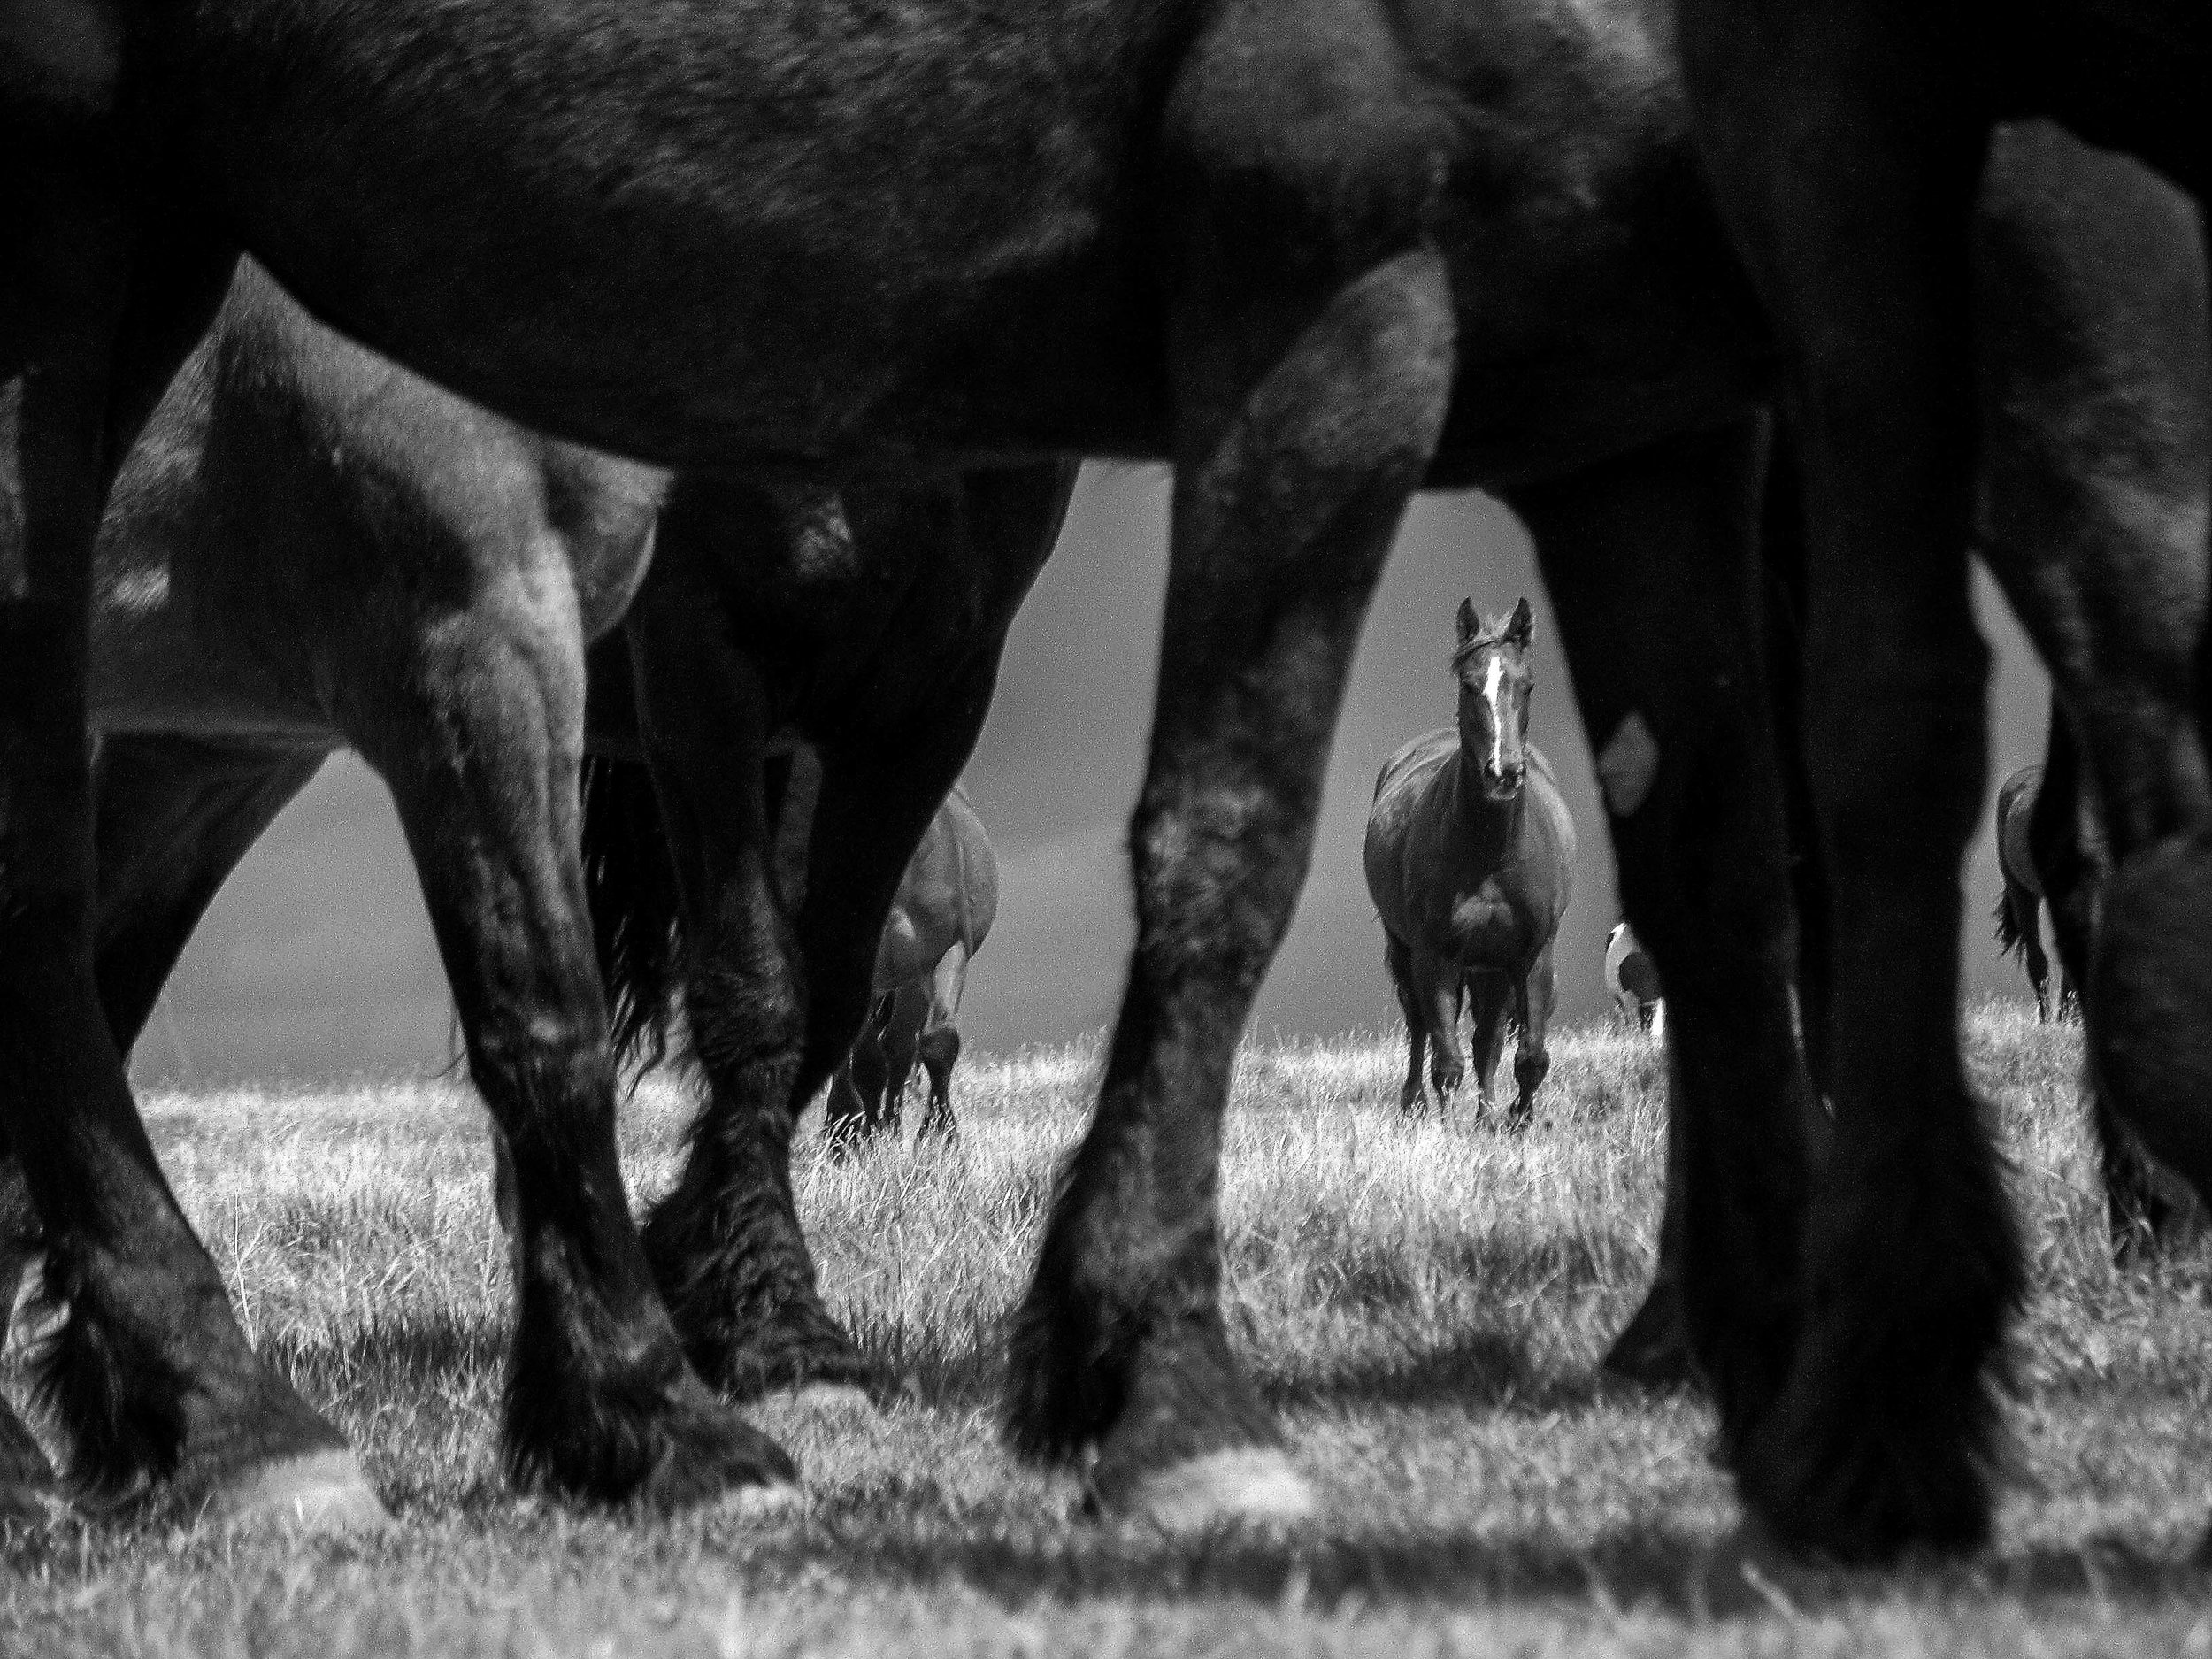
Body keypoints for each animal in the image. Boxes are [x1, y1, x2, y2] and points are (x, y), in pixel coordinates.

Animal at [823, 787, 1004, 1150]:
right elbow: (864, 1058)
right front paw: (849, 1134)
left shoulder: (948, 952)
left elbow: (938, 1042)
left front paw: (939, 1134)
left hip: (909, 983)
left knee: (900, 1048)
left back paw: (888, 1126)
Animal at [1363, 602, 1575, 1133]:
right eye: (1469, 684)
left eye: (1528, 684)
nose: (1503, 772)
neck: (1492, 854)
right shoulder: (1437, 955)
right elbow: (1446, 1060)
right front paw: (1444, 1129)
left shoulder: (1530, 956)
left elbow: (1528, 1057)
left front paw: (1513, 1120)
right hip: (1410, 951)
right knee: (1420, 1025)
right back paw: (1414, 1104)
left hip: (1491, 967)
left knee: (1489, 1043)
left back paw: (1487, 1114)